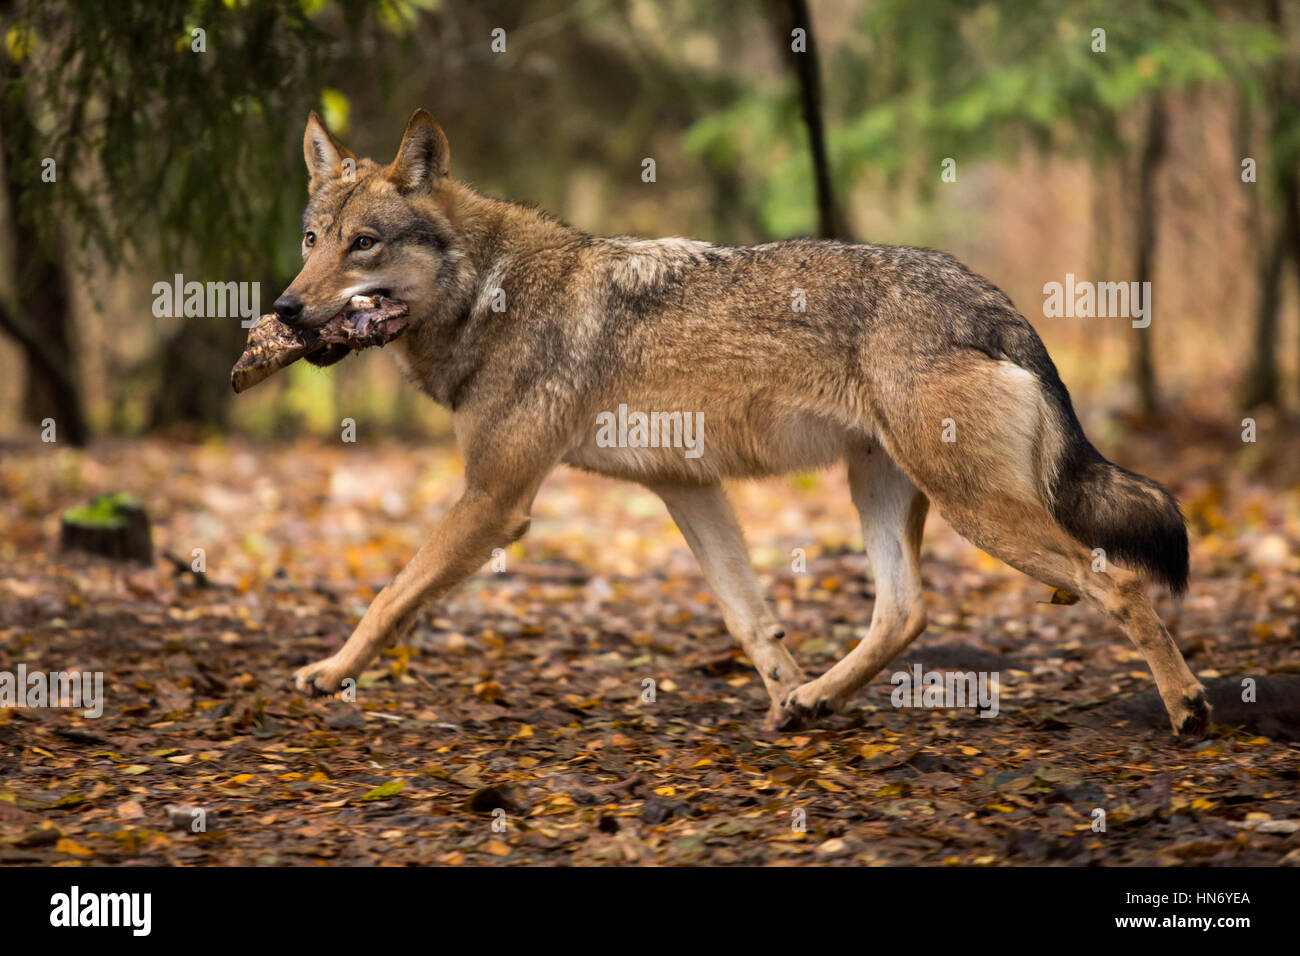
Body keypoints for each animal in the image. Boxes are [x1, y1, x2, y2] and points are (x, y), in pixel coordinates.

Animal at [276, 113, 1206, 738]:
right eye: (313, 238)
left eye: (365, 244)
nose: (282, 307)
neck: (489, 292)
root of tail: (997, 303)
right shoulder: (685, 487)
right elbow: (748, 616)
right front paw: (783, 695)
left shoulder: (495, 500)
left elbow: (390, 596)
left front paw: (328, 674)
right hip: (884, 489)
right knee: (904, 613)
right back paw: (817, 699)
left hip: (979, 512)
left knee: (1118, 583)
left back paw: (1187, 708)